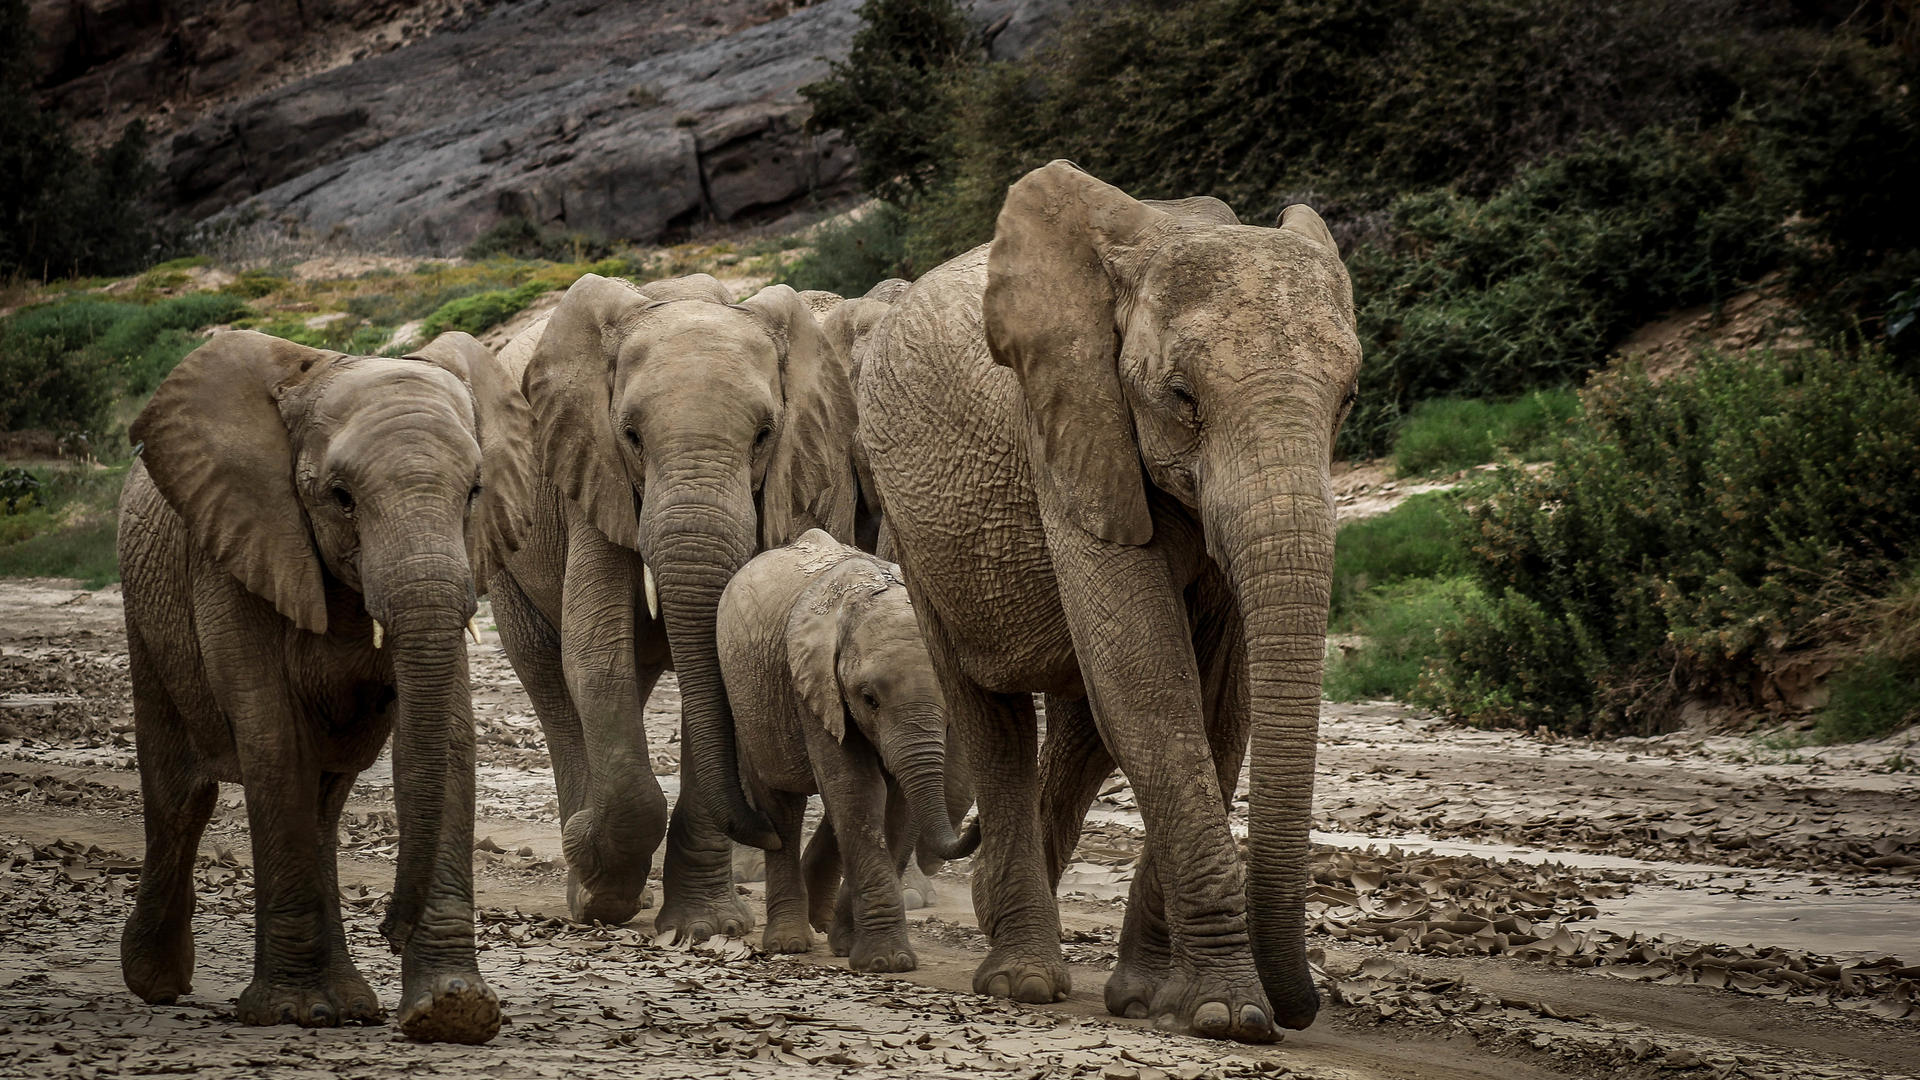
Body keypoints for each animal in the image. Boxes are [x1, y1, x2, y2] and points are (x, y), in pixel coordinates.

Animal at [116, 329, 531, 1043]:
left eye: (475, 491)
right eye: (341, 497)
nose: (390, 927)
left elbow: (448, 737)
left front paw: (454, 1012)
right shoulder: (238, 545)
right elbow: (272, 736)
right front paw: (291, 1013)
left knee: (322, 803)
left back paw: (349, 1005)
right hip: (145, 614)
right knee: (180, 793)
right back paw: (159, 983)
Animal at [487, 273, 859, 939]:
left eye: (764, 435)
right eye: (631, 436)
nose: (765, 829)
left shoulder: (802, 480)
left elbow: (721, 662)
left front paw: (707, 926)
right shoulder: (590, 474)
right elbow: (594, 655)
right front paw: (601, 884)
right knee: (548, 673)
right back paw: (585, 881)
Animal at [716, 529, 978, 969]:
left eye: (950, 703)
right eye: (869, 699)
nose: (976, 827)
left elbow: (896, 803)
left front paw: (856, 947)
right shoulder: (812, 685)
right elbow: (857, 791)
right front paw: (886, 962)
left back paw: (827, 929)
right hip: (750, 703)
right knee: (782, 807)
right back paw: (789, 942)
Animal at [857, 161, 1361, 1042]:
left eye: (1349, 400)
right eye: (1183, 398)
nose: (1302, 1009)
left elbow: (1217, 707)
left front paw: (1160, 1000)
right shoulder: (1066, 429)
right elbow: (1152, 688)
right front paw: (1232, 1013)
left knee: (1083, 733)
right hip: (913, 534)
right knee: (991, 718)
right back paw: (1021, 977)